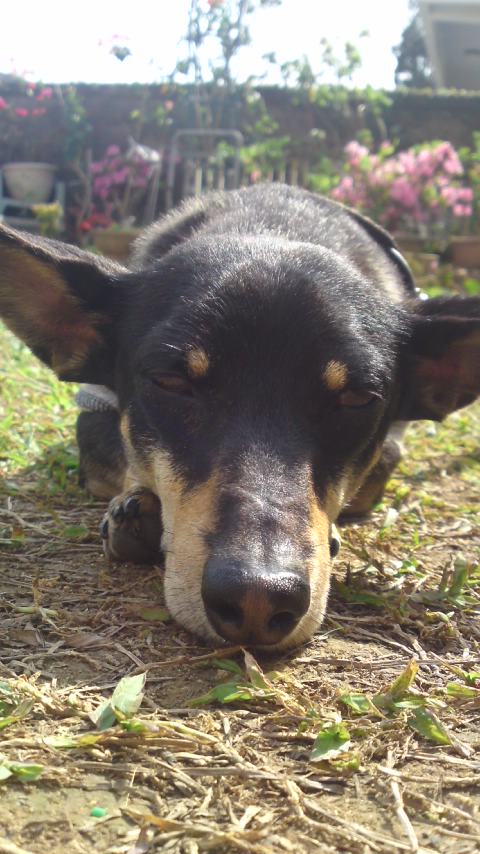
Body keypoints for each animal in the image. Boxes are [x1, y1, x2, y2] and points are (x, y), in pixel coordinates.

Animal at [1, 184, 479, 650]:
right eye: (170, 381)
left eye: (358, 398)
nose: (258, 598)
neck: (273, 224)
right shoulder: (96, 416)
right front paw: (137, 507)